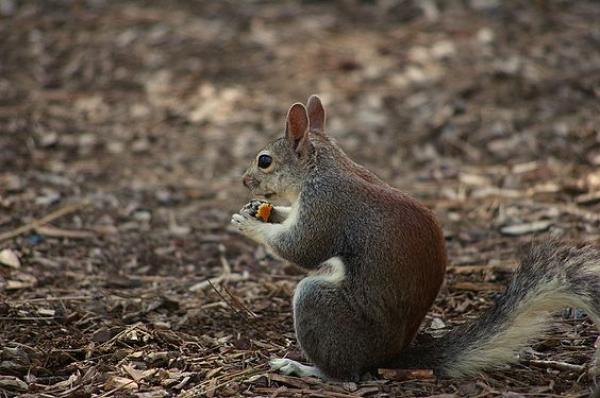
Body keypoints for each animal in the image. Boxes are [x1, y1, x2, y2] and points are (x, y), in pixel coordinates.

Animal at [230, 95, 600, 380]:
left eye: (264, 161)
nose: (244, 181)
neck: (322, 168)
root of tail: (389, 358)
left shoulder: (327, 206)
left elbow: (302, 248)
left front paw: (249, 224)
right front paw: (261, 210)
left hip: (322, 307)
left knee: (345, 373)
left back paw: (303, 368)